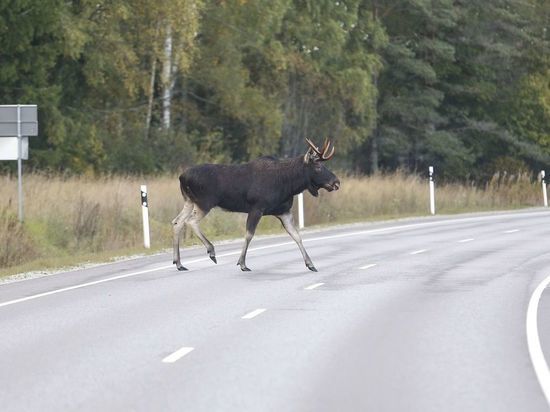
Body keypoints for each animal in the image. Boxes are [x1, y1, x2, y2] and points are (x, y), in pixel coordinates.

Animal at [172, 140, 340, 272]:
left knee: (177, 222)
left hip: (189, 201)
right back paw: (211, 251)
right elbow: (249, 234)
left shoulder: (284, 211)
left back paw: (179, 263)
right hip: (204, 203)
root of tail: (181, 177)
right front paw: (242, 263)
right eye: (317, 166)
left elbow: (297, 236)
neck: (289, 184)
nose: (336, 182)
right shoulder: (257, 208)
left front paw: (310, 264)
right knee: (190, 221)